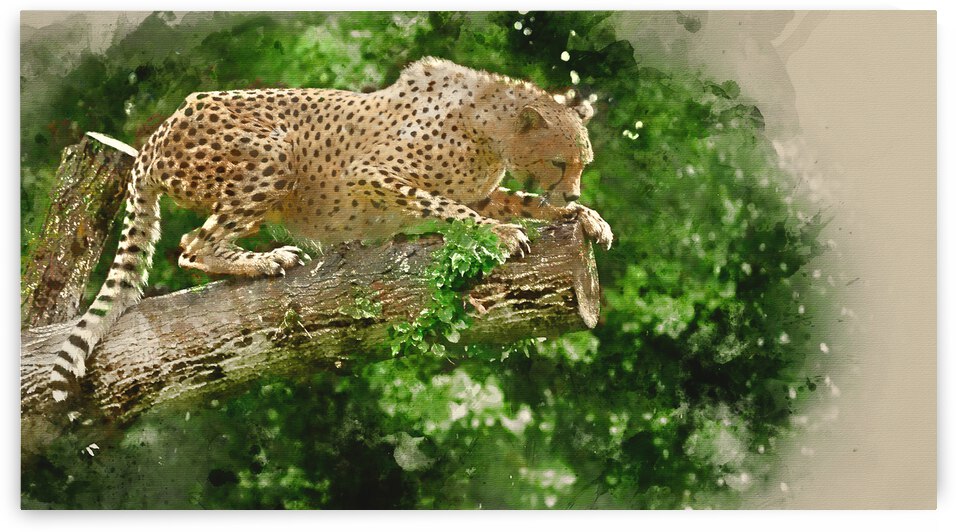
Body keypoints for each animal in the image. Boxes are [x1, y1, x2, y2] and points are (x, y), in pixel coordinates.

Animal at [49, 57, 613, 403]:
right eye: (560, 163)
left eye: (582, 165)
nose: (573, 192)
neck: (488, 127)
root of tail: (159, 132)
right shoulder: (371, 173)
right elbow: (448, 206)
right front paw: (499, 235)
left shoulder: (481, 190)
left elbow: (518, 201)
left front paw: (584, 218)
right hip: (274, 156)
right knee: (191, 246)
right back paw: (262, 261)